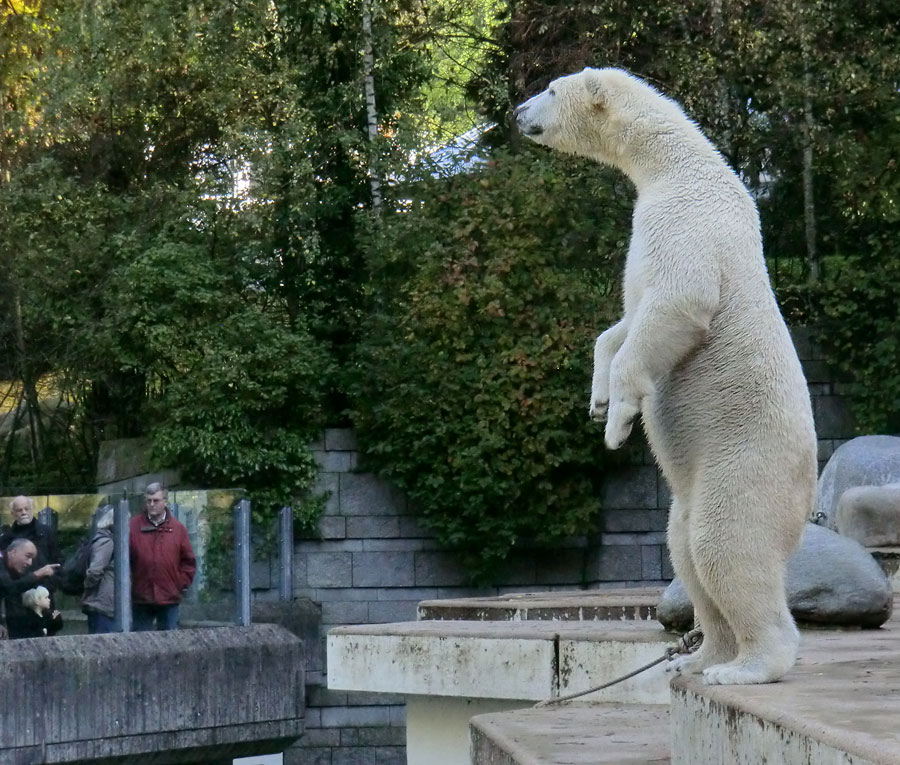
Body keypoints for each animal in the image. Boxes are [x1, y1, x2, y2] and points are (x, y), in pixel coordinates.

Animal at [512, 68, 816, 684]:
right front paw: (599, 401)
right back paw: (701, 656)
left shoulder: (686, 220)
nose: (516, 113)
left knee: (724, 543)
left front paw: (621, 422)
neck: (678, 163)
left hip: (748, 462)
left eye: (551, 90)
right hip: (698, 483)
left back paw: (744, 667)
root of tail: (809, 484)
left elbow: (678, 301)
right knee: (683, 546)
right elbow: (624, 322)